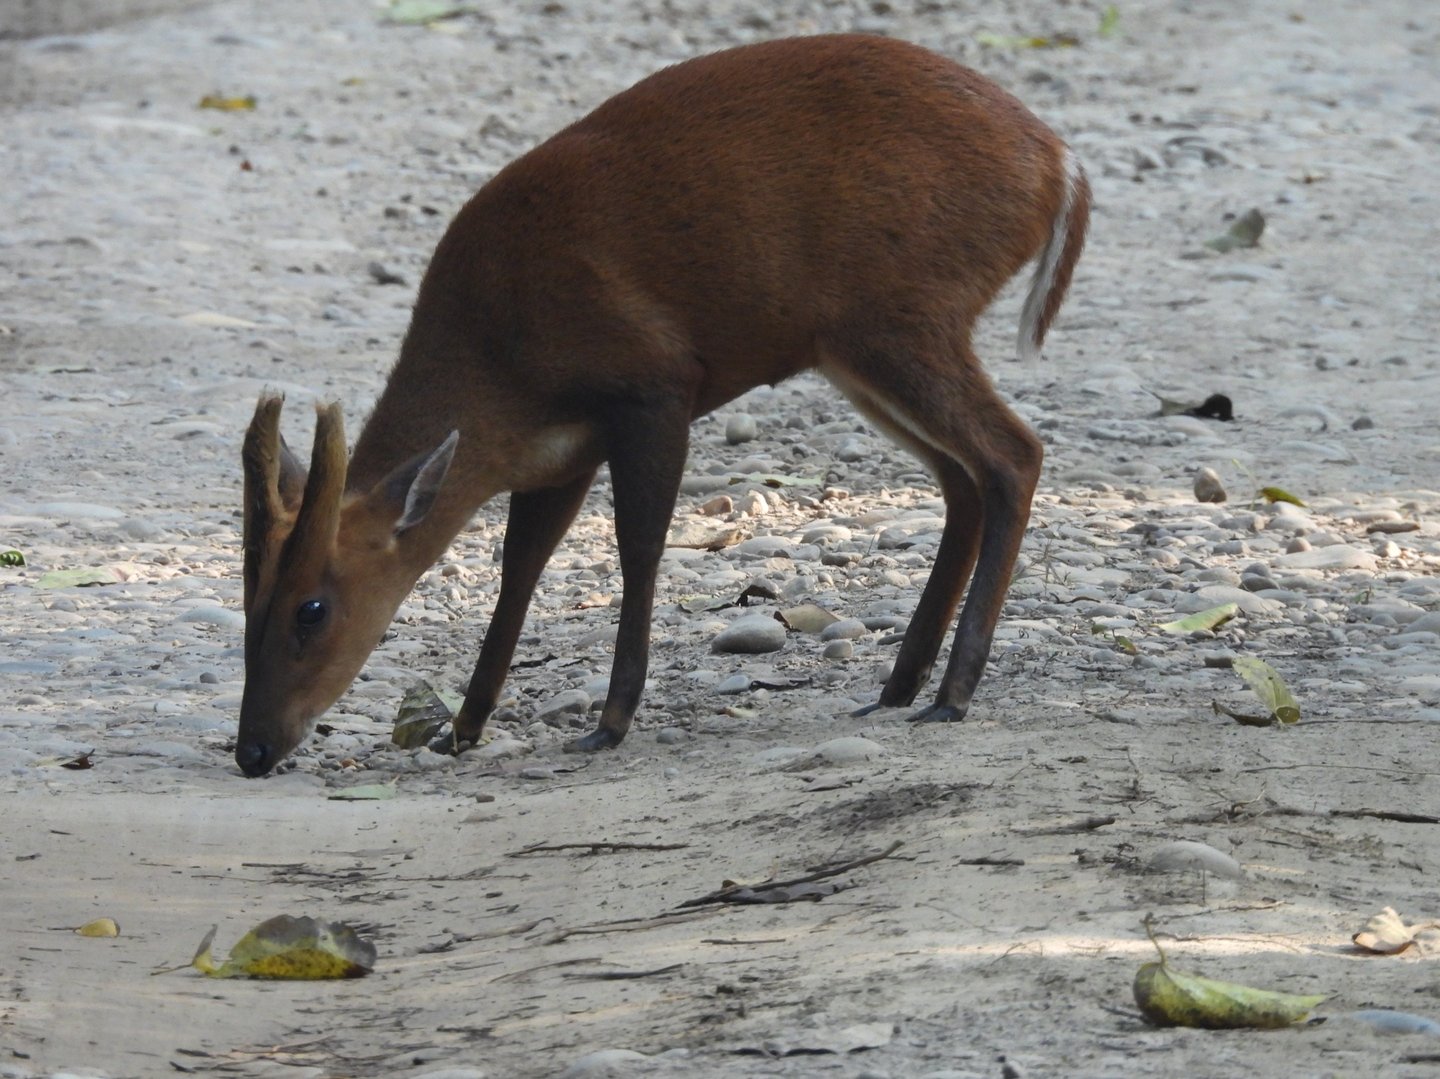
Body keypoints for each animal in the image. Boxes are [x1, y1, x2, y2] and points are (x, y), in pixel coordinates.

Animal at [236, 33, 1089, 777]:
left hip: (905, 314)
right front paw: (464, 727)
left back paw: (952, 693)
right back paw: (898, 686)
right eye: (250, 600)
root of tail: (1061, 165)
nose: (252, 749)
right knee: (962, 480)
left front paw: (609, 723)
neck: (498, 361)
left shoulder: (654, 385)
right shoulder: (557, 455)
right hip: (860, 349)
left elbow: (637, 547)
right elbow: (520, 567)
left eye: (312, 608)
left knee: (1013, 452)